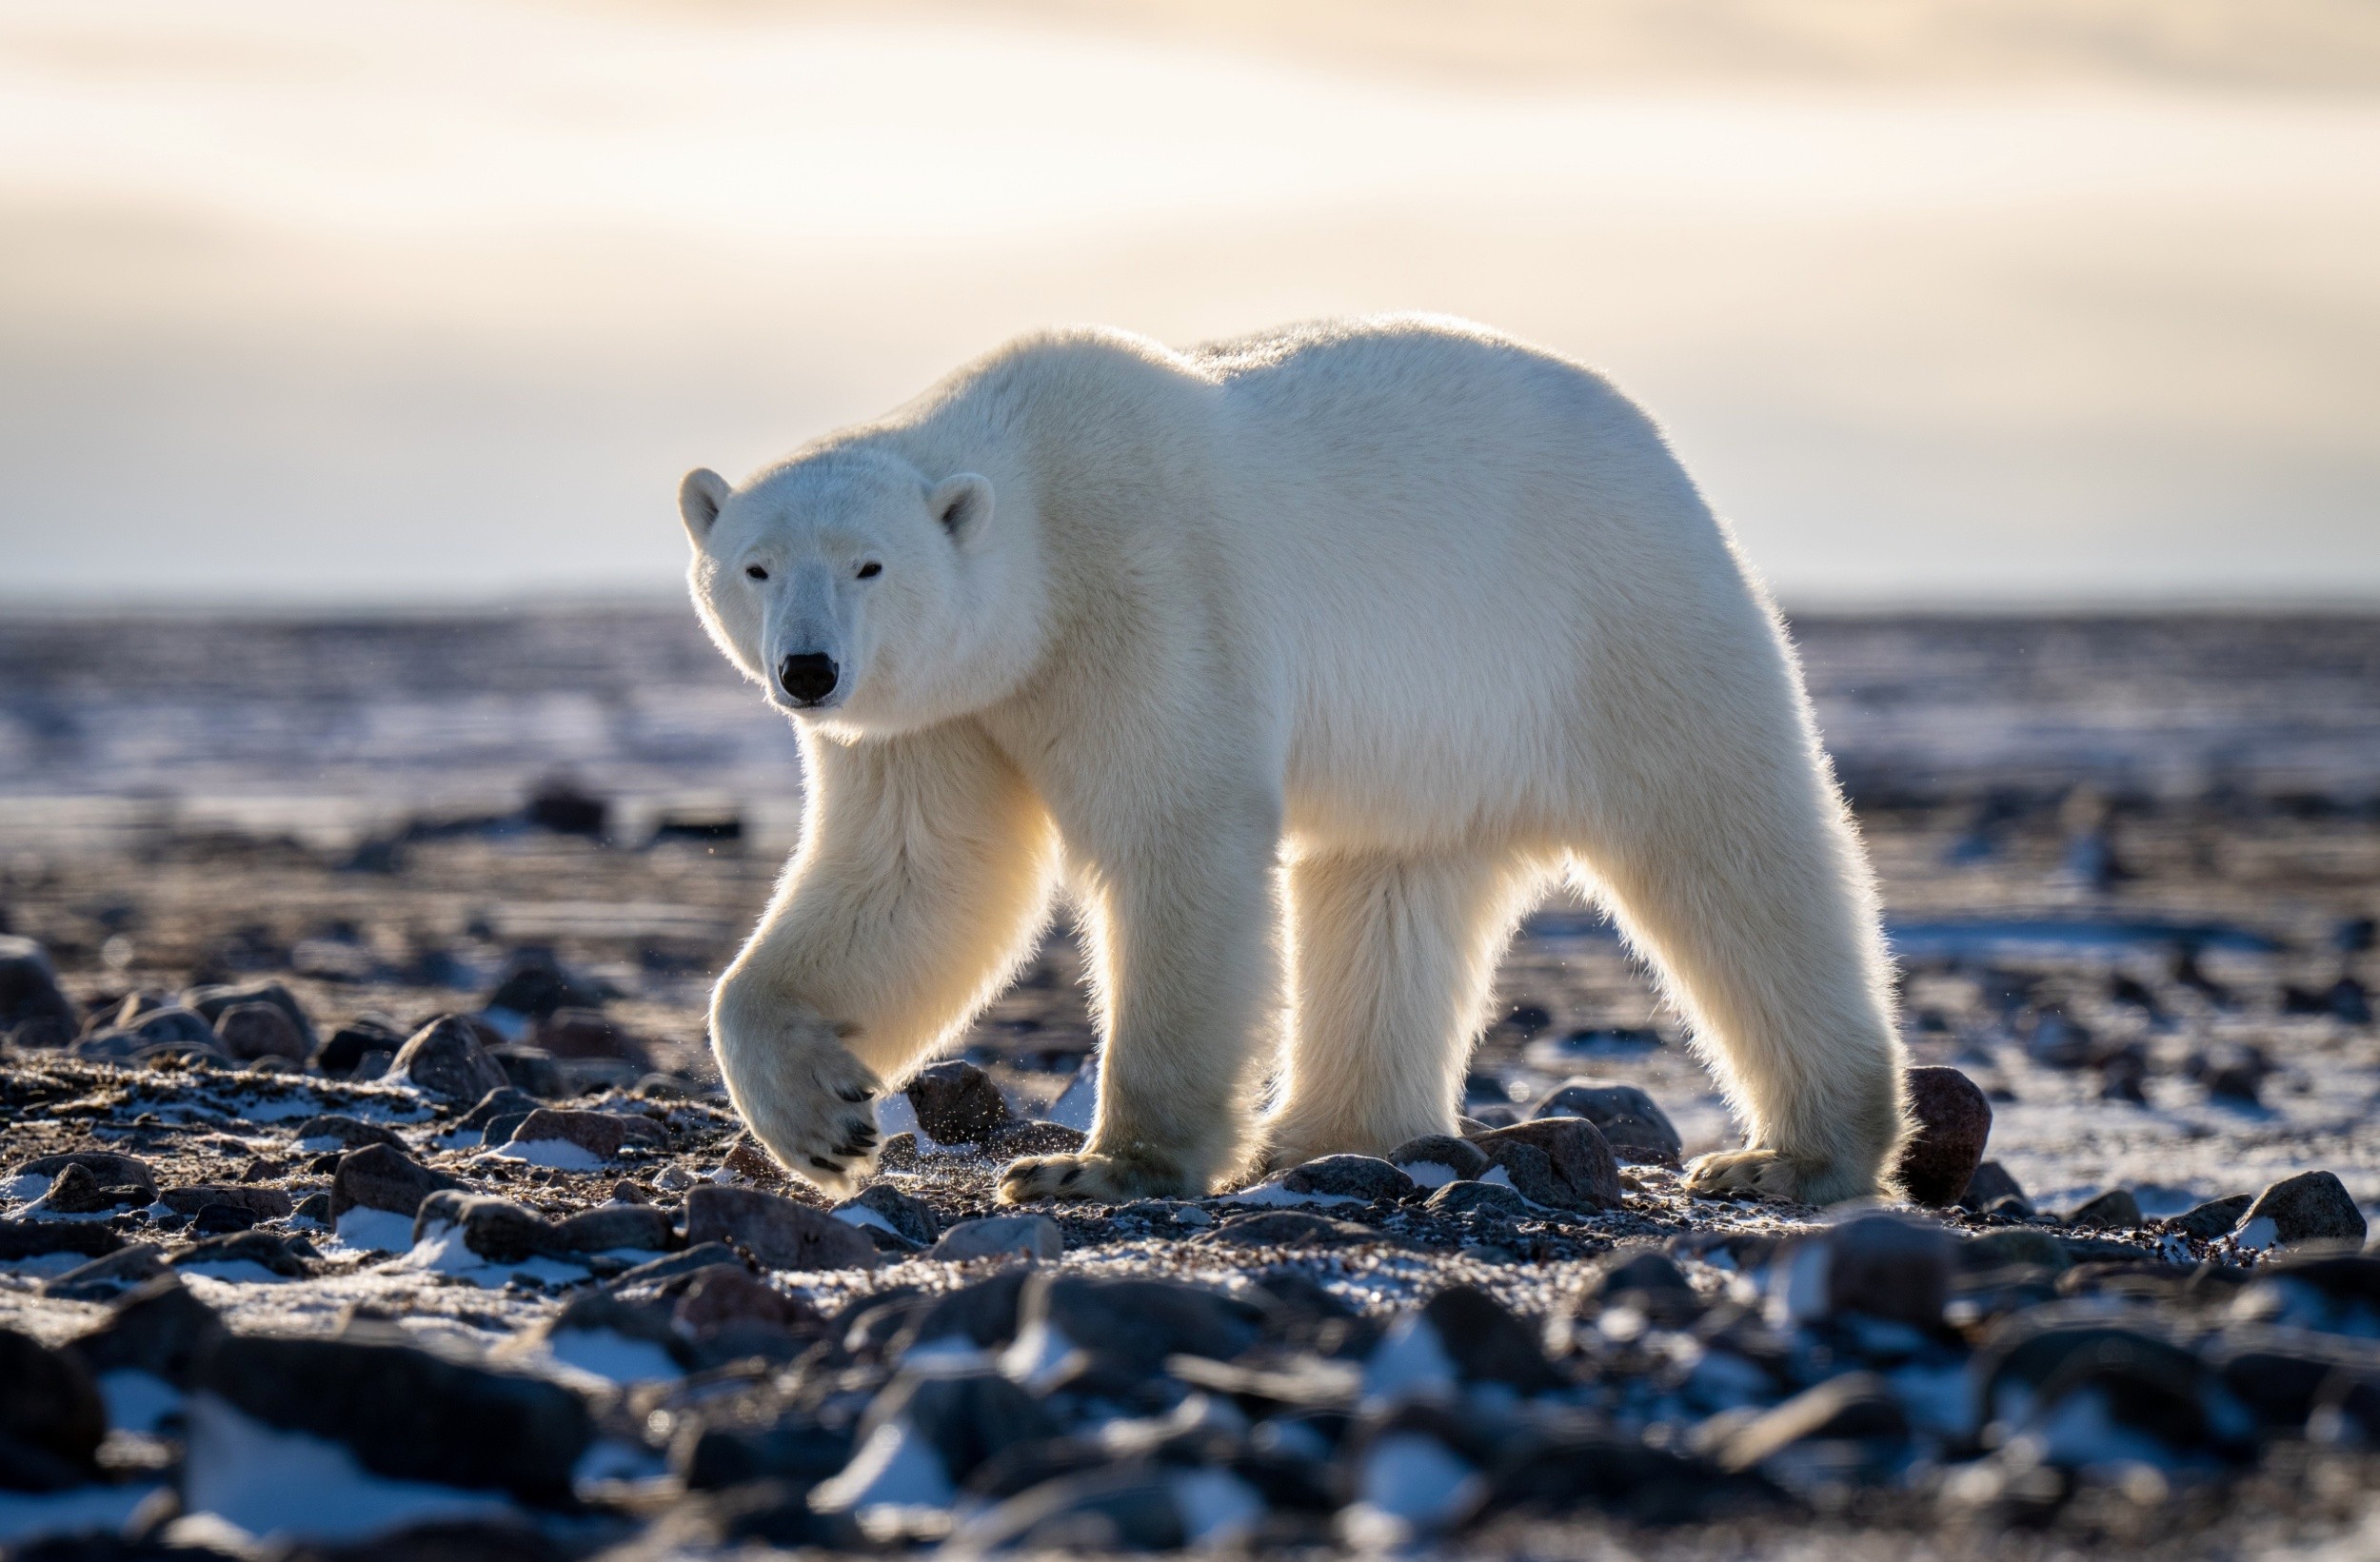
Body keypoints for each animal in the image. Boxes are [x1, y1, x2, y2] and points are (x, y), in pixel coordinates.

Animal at [678, 314, 1909, 1207]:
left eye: (869, 564)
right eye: (755, 565)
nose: (809, 671)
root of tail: (1655, 449)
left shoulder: (1145, 596)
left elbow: (1178, 839)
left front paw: (1100, 1167)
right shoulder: (946, 711)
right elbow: (918, 873)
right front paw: (824, 1121)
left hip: (1611, 617)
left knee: (1727, 850)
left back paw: (1793, 1154)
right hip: (1433, 739)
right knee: (1388, 892)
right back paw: (1322, 1131)